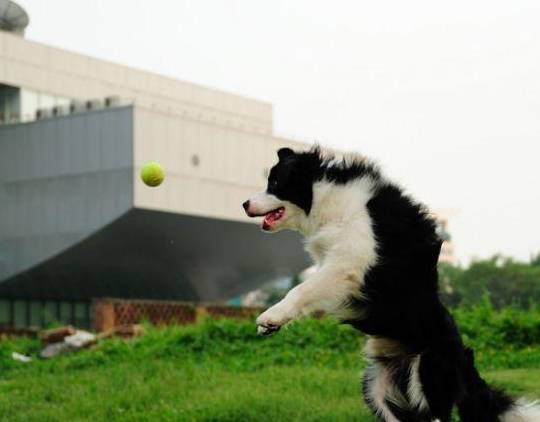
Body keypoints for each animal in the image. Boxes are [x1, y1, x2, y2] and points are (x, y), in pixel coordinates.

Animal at [243, 146, 536, 422]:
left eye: (275, 183)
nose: (244, 204)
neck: (322, 196)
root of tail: (463, 358)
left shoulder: (349, 262)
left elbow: (301, 289)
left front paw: (269, 317)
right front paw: (271, 326)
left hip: (429, 374)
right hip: (376, 388)